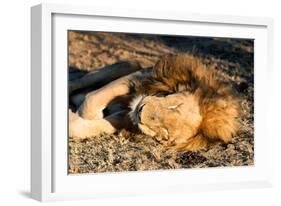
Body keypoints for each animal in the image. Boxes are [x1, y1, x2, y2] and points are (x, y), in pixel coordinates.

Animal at [68, 54, 238, 150]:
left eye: (165, 134)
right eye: (174, 106)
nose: (140, 111)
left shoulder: (127, 120)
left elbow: (89, 126)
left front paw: (75, 119)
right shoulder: (139, 77)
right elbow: (92, 99)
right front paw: (85, 113)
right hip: (127, 65)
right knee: (79, 82)